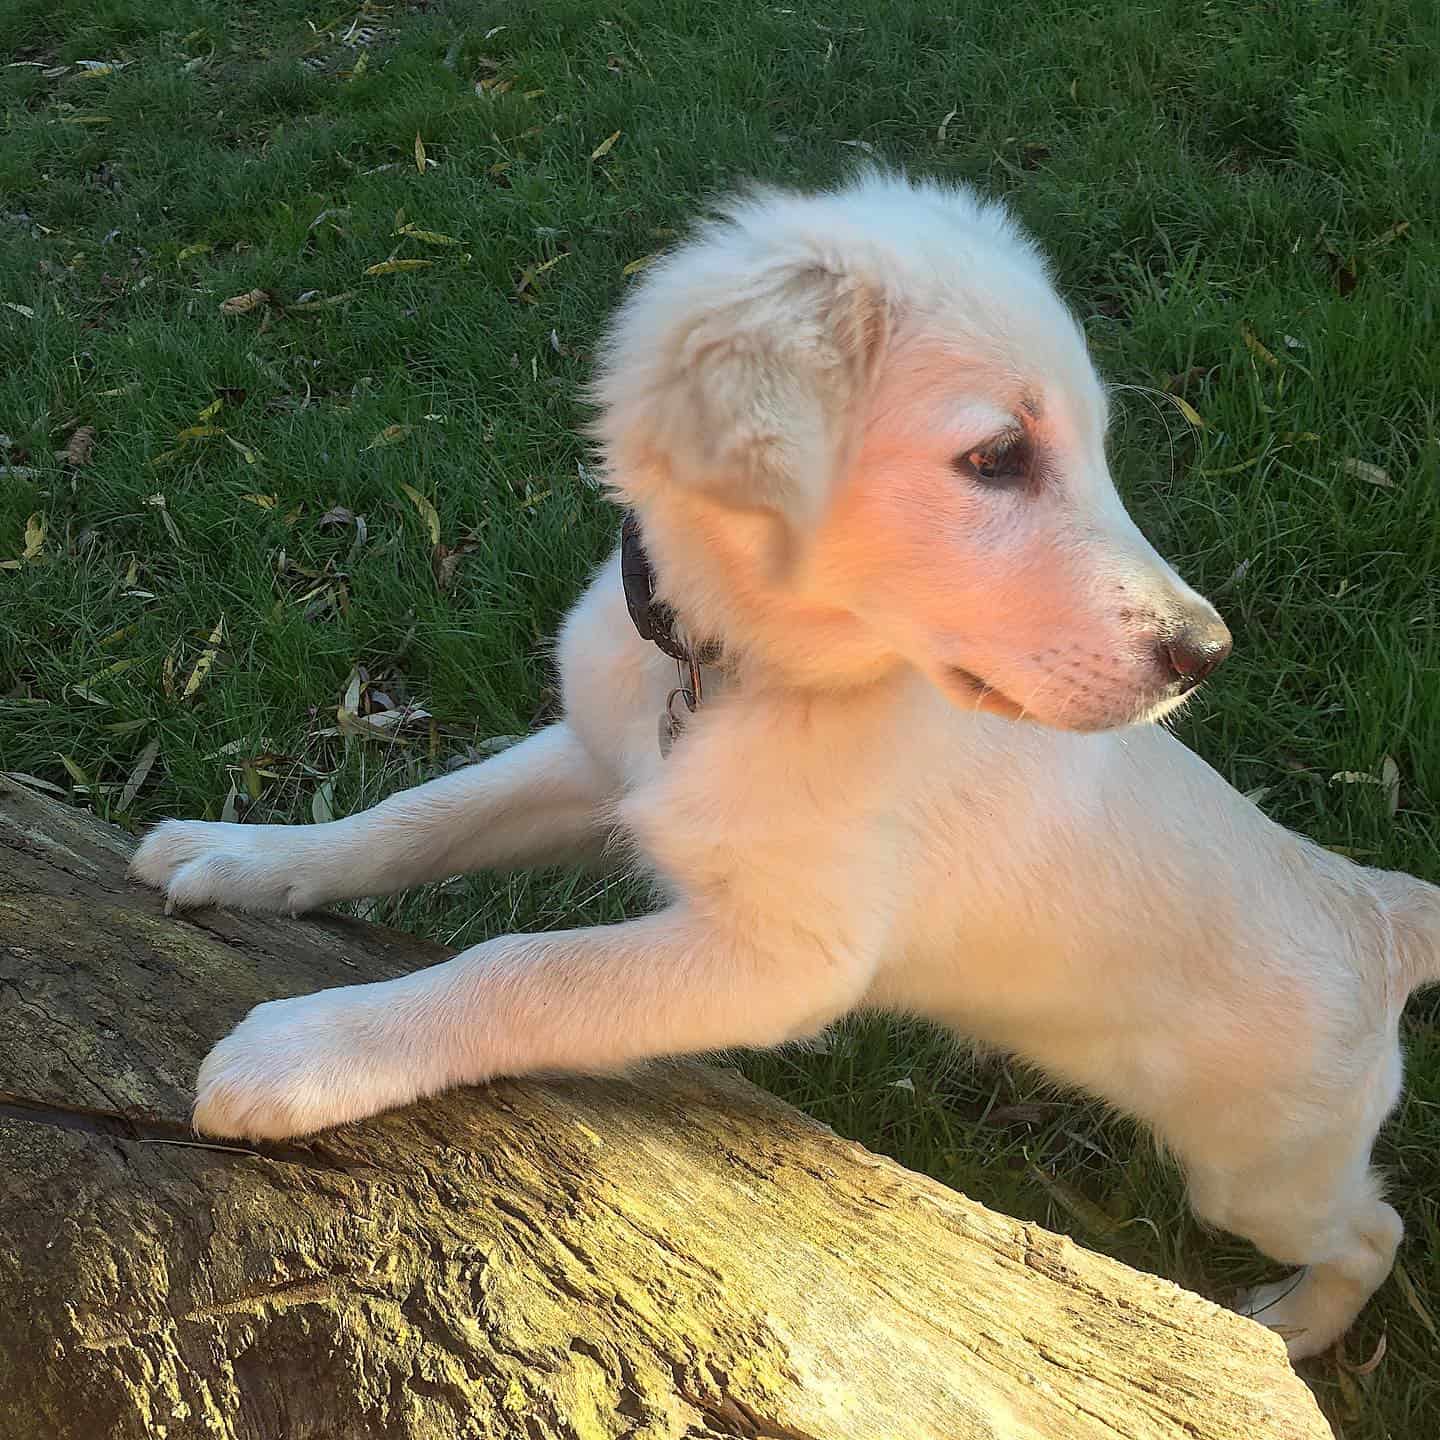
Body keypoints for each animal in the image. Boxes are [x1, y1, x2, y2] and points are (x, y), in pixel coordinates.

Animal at [129, 174, 1434, 1353]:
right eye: (999, 455)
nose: (1204, 653)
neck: (733, 672)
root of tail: (1377, 905)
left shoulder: (787, 959)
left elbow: (521, 967)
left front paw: (311, 1049)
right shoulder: (594, 759)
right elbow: (413, 816)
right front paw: (243, 854)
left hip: (1256, 1168)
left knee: (1374, 1233)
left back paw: (1293, 1329)